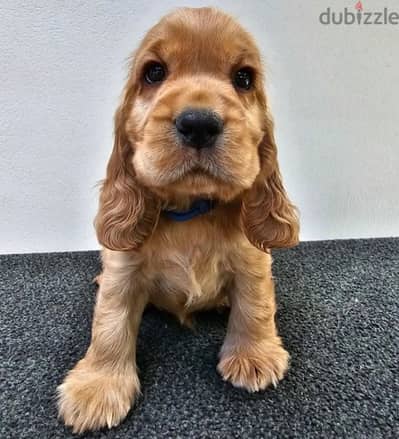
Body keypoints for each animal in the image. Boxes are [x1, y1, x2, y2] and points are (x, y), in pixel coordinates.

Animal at [56, 6, 300, 434]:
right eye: (154, 72)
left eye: (244, 78)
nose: (199, 123)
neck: (192, 210)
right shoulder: (123, 268)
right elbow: (109, 324)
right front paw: (97, 388)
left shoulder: (252, 259)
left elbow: (254, 302)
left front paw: (254, 355)